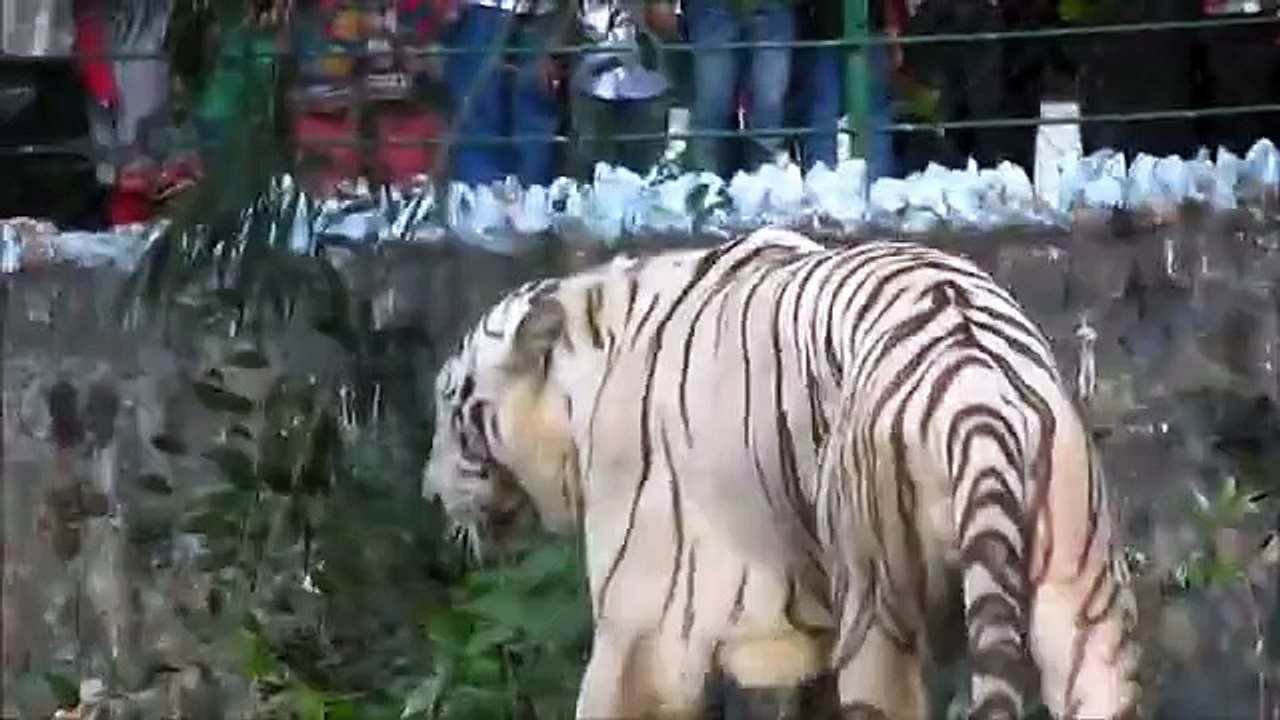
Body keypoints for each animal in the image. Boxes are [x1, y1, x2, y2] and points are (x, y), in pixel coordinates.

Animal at [421, 227, 1141, 719]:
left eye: (452, 406)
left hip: (879, 605)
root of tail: (977, 387)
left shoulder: (644, 628)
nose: (429, 492)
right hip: (1085, 605)